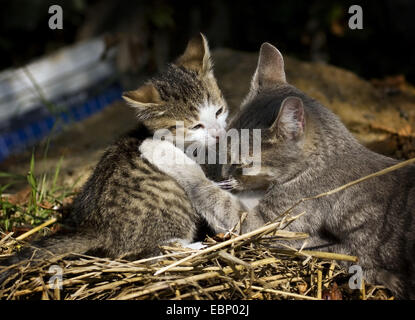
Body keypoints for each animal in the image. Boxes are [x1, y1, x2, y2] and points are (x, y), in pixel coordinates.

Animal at [0, 33, 228, 282]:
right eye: (196, 126)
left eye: (218, 111)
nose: (218, 134)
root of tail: (98, 227)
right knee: (157, 250)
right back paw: (195, 246)